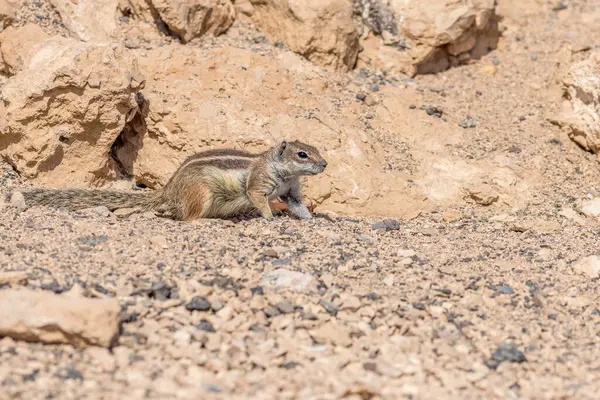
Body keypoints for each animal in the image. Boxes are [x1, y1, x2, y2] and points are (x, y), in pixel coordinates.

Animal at [10, 140, 328, 222]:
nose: (325, 164)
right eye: (302, 154)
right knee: (188, 218)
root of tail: (168, 190)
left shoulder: (291, 191)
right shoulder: (259, 184)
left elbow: (298, 205)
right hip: (201, 193)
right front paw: (270, 217)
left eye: (316, 149)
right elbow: (258, 199)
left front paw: (312, 219)